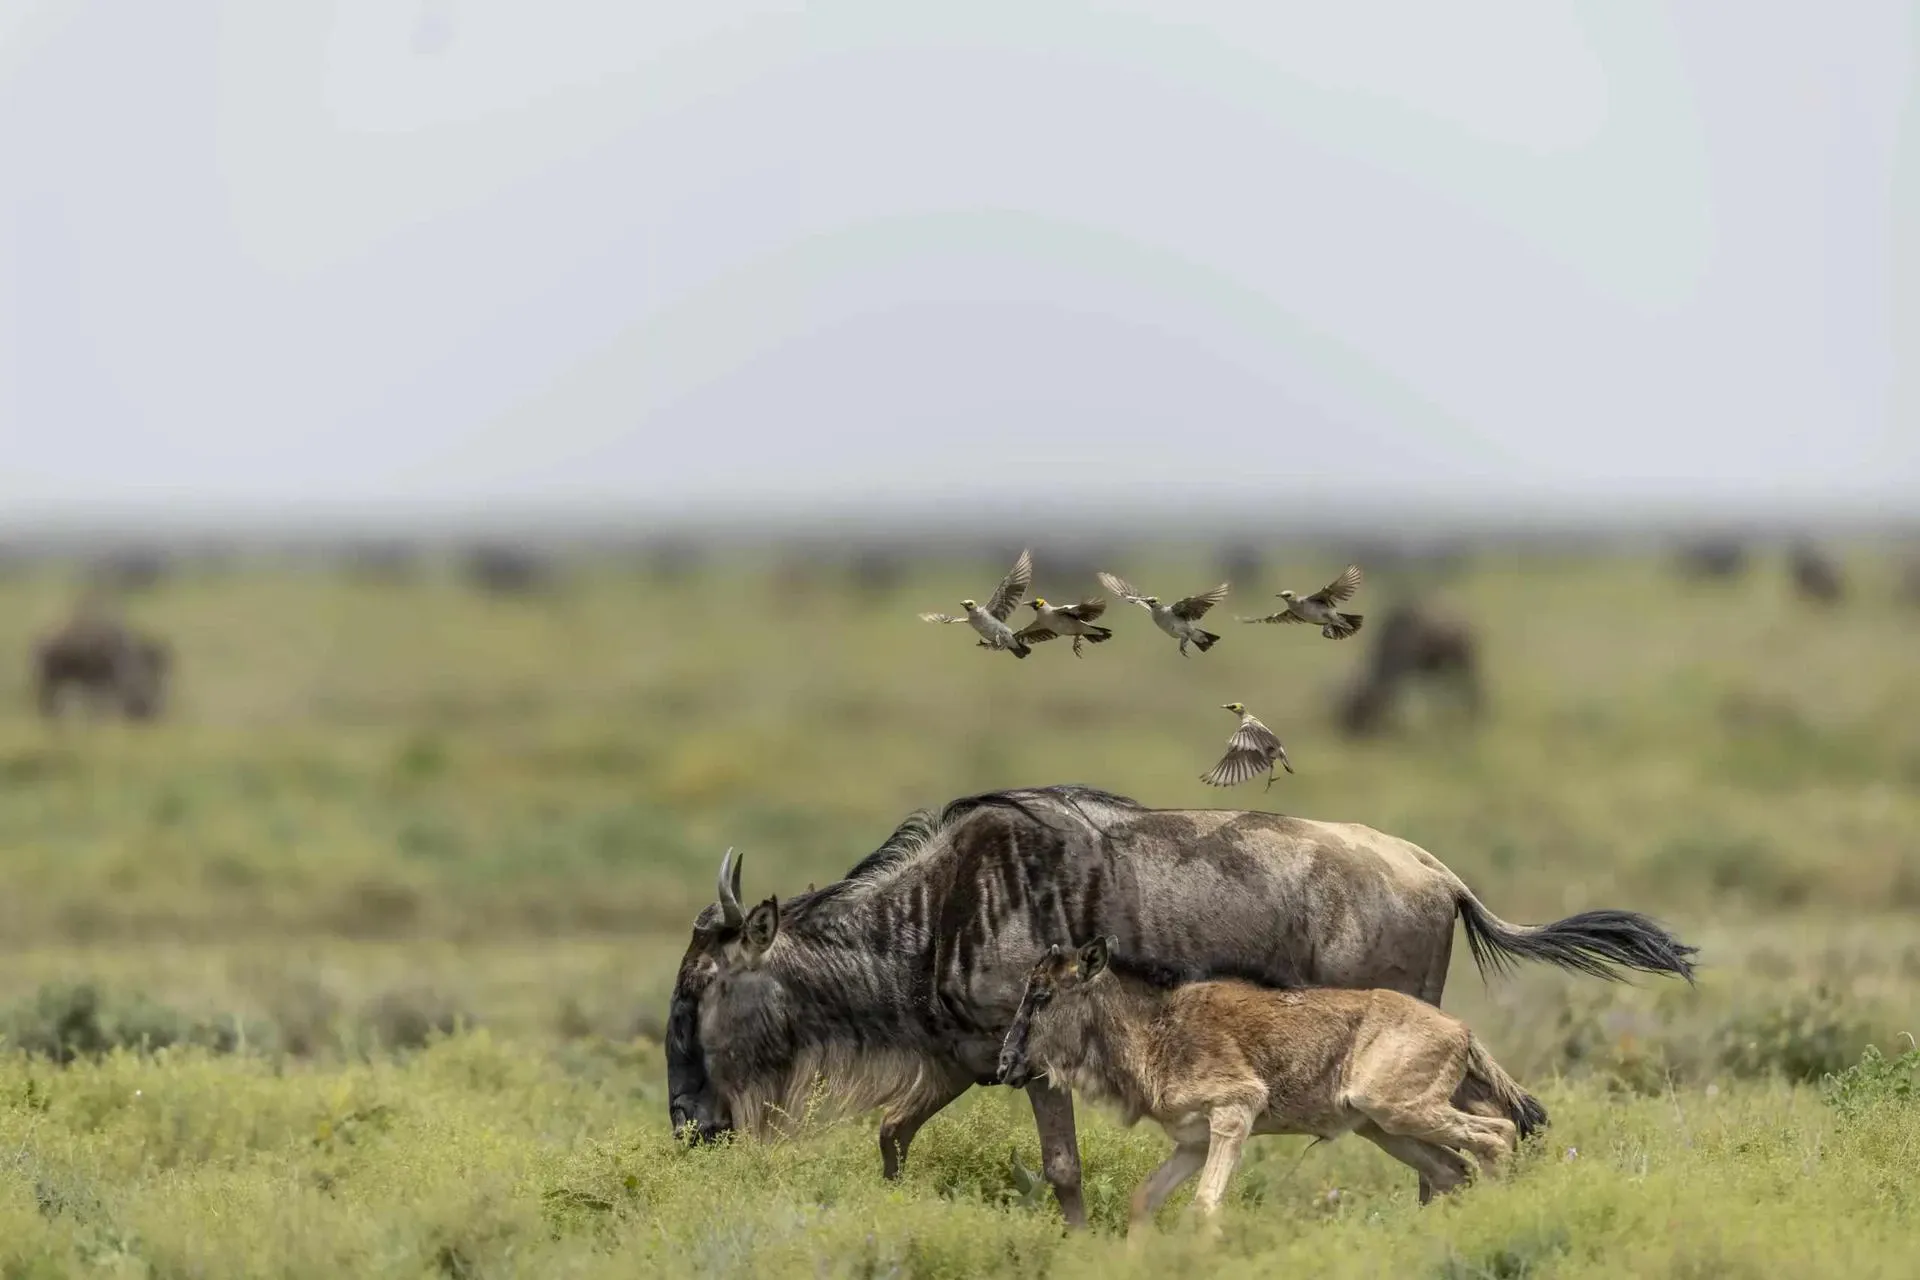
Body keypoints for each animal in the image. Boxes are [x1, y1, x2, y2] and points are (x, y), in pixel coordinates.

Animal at [990, 940, 1543, 1228]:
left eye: (1041, 995)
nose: (1005, 1066)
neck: (1154, 1030)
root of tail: (1463, 1031)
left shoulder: (1236, 1111)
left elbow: (1204, 1206)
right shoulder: (1193, 1142)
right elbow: (1144, 1199)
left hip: (1399, 1109)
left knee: (1497, 1136)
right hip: (1387, 1128)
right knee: (1457, 1168)